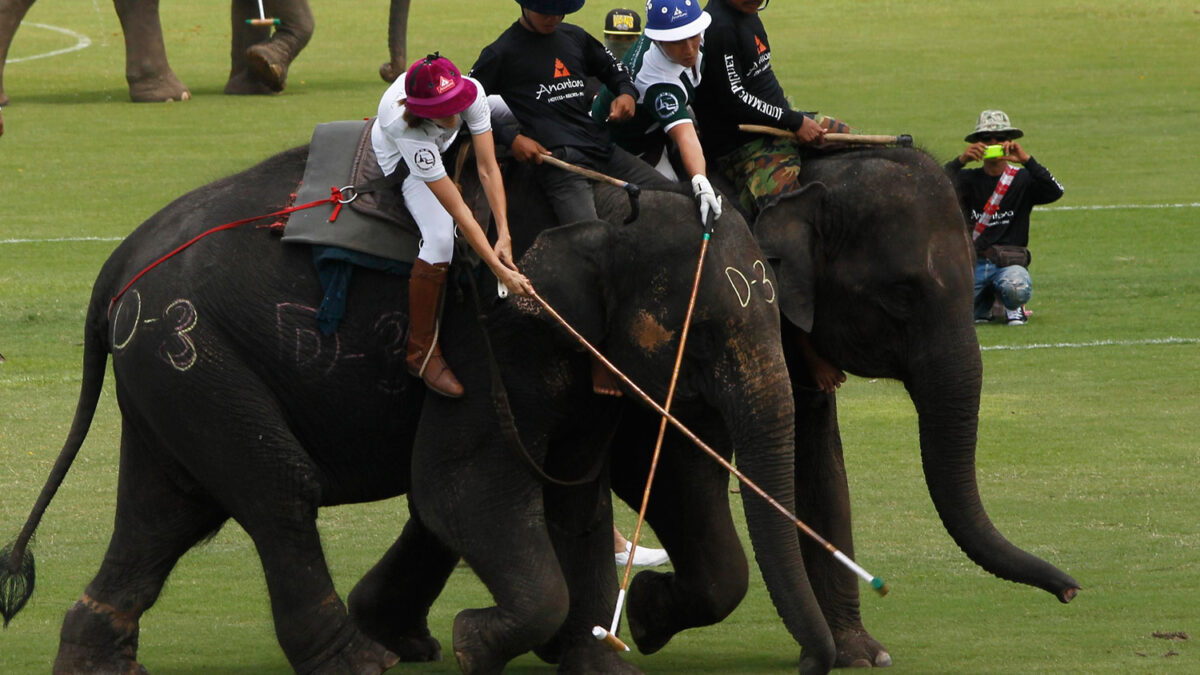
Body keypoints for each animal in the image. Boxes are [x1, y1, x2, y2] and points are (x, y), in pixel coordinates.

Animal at [2, 139, 825, 667]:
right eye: (704, 335)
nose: (816, 663)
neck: (606, 193)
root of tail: (120, 266)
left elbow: (574, 499)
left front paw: (605, 653)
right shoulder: (496, 333)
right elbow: (461, 489)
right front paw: (475, 642)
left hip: (174, 375)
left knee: (165, 511)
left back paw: (95, 657)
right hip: (193, 353)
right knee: (278, 492)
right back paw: (365, 660)